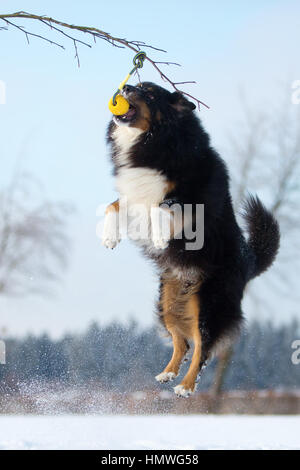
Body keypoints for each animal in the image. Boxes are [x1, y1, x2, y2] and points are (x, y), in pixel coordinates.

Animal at [102, 81, 280, 396]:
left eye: (150, 93)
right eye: (139, 85)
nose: (127, 86)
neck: (155, 141)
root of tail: (249, 261)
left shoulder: (195, 199)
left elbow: (163, 205)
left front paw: (161, 237)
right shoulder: (135, 196)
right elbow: (113, 206)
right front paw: (110, 237)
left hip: (208, 303)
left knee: (203, 347)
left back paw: (186, 386)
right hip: (168, 300)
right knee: (182, 341)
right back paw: (168, 373)